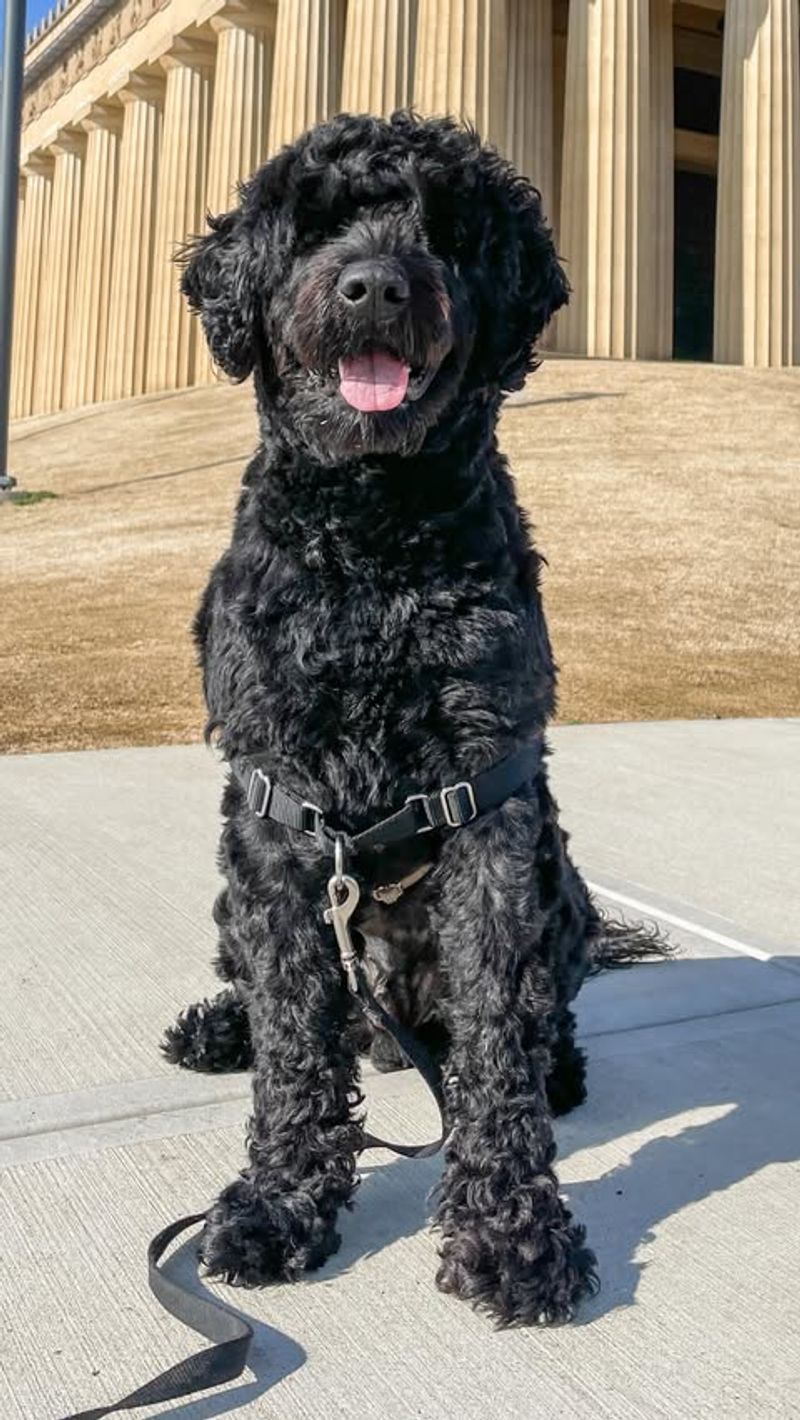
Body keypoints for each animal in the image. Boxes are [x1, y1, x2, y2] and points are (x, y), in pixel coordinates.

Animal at [166, 116, 667, 1323]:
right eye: (315, 223)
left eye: (446, 228)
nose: (374, 287)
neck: (372, 539)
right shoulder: (274, 806)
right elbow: (293, 1037)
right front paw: (276, 1203)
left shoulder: (489, 800)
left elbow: (492, 1046)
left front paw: (512, 1233)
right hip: (231, 891)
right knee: (281, 999)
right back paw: (219, 1027)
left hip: (564, 882)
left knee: (531, 1019)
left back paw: (559, 1068)